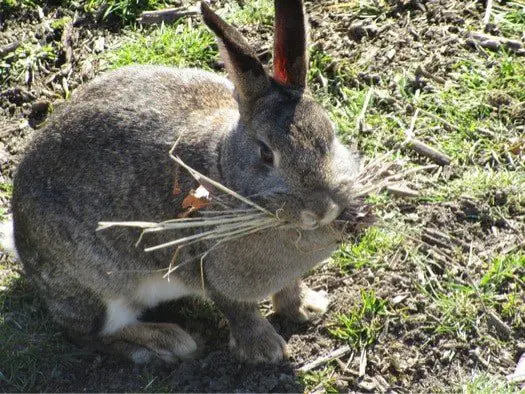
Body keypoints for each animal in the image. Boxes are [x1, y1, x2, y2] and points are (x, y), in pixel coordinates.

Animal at [12, 0, 364, 364]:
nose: (323, 209)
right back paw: (166, 342)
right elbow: (238, 309)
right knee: (90, 332)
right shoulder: (210, 270)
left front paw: (309, 307)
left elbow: (289, 287)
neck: (224, 168)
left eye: (330, 134)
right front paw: (265, 349)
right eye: (267, 154)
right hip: (103, 286)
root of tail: (20, 240)